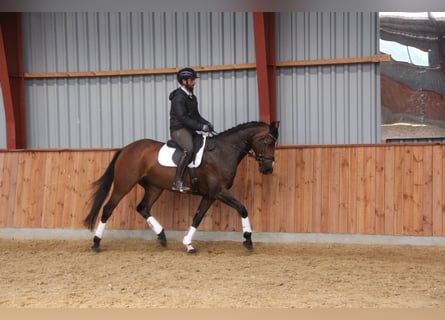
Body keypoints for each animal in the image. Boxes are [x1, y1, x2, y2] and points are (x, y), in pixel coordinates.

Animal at [83, 120, 278, 252]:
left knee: (143, 207)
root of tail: (126, 148)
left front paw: (188, 244)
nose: (268, 169)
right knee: (108, 208)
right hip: (124, 184)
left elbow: (197, 217)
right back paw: (96, 242)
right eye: (268, 142)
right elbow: (242, 208)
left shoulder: (210, 195)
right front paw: (248, 239)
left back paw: (162, 236)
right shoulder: (219, 192)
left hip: (155, 187)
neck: (223, 152)